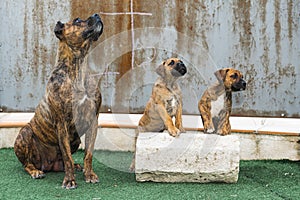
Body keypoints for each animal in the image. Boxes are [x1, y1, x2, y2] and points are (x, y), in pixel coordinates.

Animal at [13, 13, 103, 189]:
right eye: (77, 21)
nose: (97, 14)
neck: (78, 68)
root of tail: (48, 165)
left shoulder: (93, 120)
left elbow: (88, 153)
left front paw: (89, 174)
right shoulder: (62, 123)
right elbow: (67, 156)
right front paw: (69, 180)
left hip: (76, 139)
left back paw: (77, 166)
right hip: (24, 133)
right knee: (27, 164)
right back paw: (36, 171)